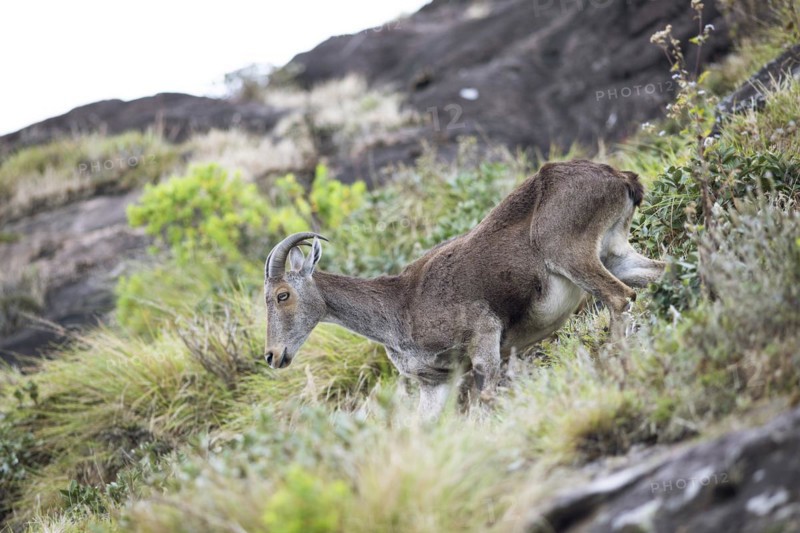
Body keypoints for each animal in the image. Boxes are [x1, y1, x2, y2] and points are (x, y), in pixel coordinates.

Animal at [263, 160, 665, 418]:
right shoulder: (436, 382)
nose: (272, 355)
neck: (398, 309)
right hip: (615, 252)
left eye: (283, 295)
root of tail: (621, 179)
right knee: (658, 274)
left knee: (619, 297)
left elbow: (487, 396)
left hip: (572, 255)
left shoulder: (483, 337)